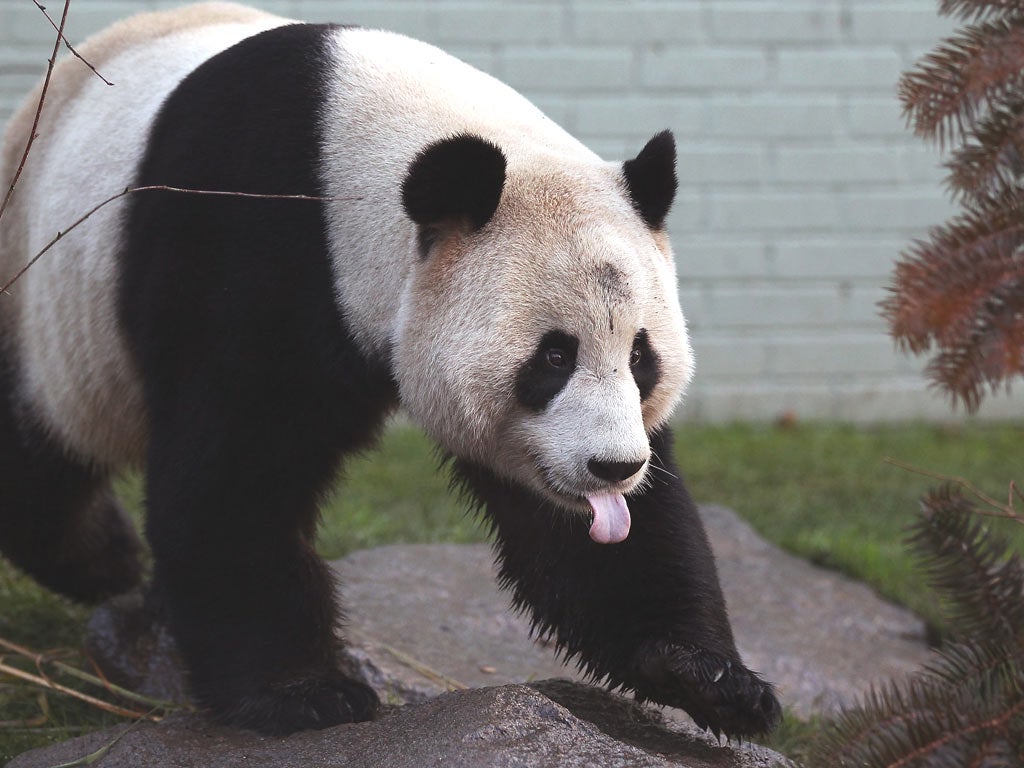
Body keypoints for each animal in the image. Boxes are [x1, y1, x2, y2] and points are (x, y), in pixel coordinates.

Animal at [0, 2, 780, 737]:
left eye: (641, 357)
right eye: (554, 356)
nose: (613, 468)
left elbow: (597, 542)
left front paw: (711, 679)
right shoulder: (246, 240)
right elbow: (234, 470)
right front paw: (306, 694)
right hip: (39, 294)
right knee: (40, 444)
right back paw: (105, 557)